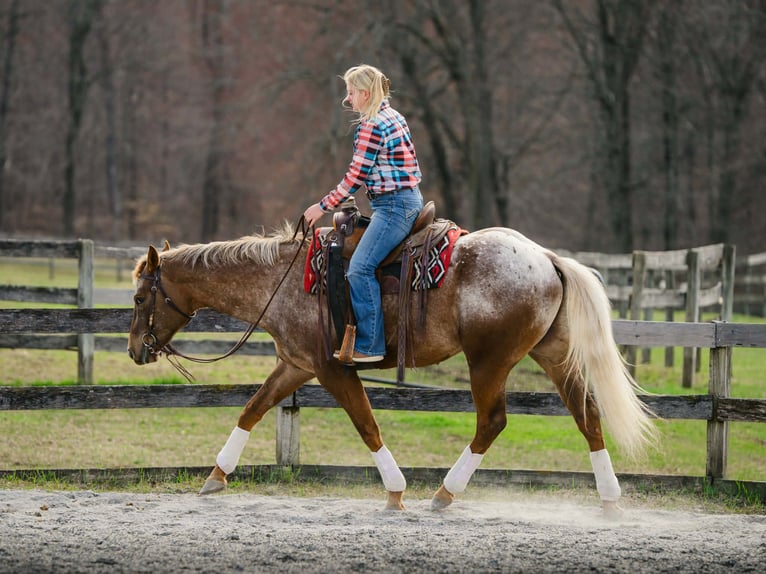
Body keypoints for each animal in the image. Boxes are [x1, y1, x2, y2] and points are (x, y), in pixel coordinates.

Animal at [127, 223, 657, 515]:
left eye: (138, 298)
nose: (136, 350)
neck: (281, 280)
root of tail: (545, 258)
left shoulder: (333, 370)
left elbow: (367, 425)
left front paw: (396, 492)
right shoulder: (294, 365)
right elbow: (251, 409)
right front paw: (216, 475)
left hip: (488, 362)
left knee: (492, 422)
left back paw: (444, 493)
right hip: (553, 354)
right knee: (587, 414)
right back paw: (609, 500)